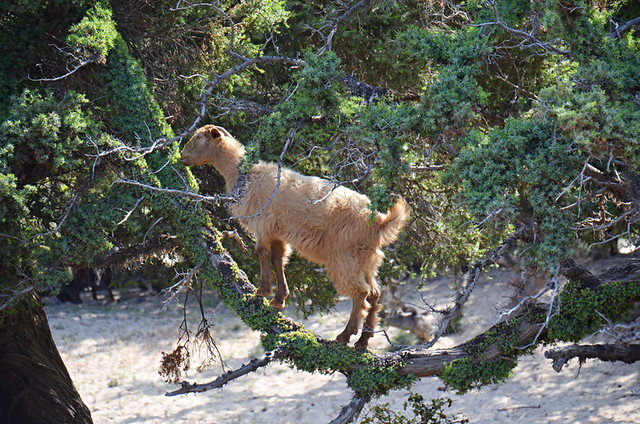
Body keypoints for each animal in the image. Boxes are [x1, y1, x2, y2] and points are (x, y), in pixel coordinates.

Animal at [181, 124, 410, 350]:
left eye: (198, 138)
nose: (182, 157)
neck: (243, 173)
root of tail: (378, 221)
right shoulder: (277, 231)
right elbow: (277, 259)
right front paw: (278, 299)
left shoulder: (263, 223)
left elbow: (261, 252)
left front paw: (262, 290)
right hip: (366, 258)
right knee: (374, 293)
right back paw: (363, 341)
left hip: (344, 257)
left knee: (360, 293)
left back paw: (345, 335)